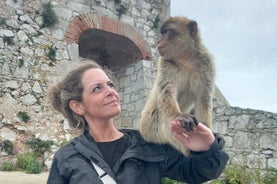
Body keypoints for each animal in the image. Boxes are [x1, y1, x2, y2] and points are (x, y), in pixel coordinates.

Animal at [139, 16, 215, 156]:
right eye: (162, 33)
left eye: (167, 32)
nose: (158, 41)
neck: (185, 60)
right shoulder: (165, 63)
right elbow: (166, 92)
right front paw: (180, 116)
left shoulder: (207, 64)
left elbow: (203, 97)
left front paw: (208, 130)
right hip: (149, 127)